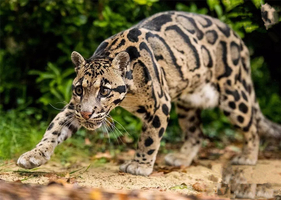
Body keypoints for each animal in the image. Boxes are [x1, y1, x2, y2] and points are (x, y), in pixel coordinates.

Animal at [18, 11, 280, 175]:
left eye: (104, 90)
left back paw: (248, 156)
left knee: (251, 126)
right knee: (196, 133)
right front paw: (34, 155)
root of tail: (238, 38)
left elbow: (149, 137)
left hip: (233, 94)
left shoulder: (160, 103)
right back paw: (182, 158)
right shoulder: (74, 107)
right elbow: (54, 128)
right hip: (187, 102)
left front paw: (140, 165)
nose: (85, 115)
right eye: (79, 89)